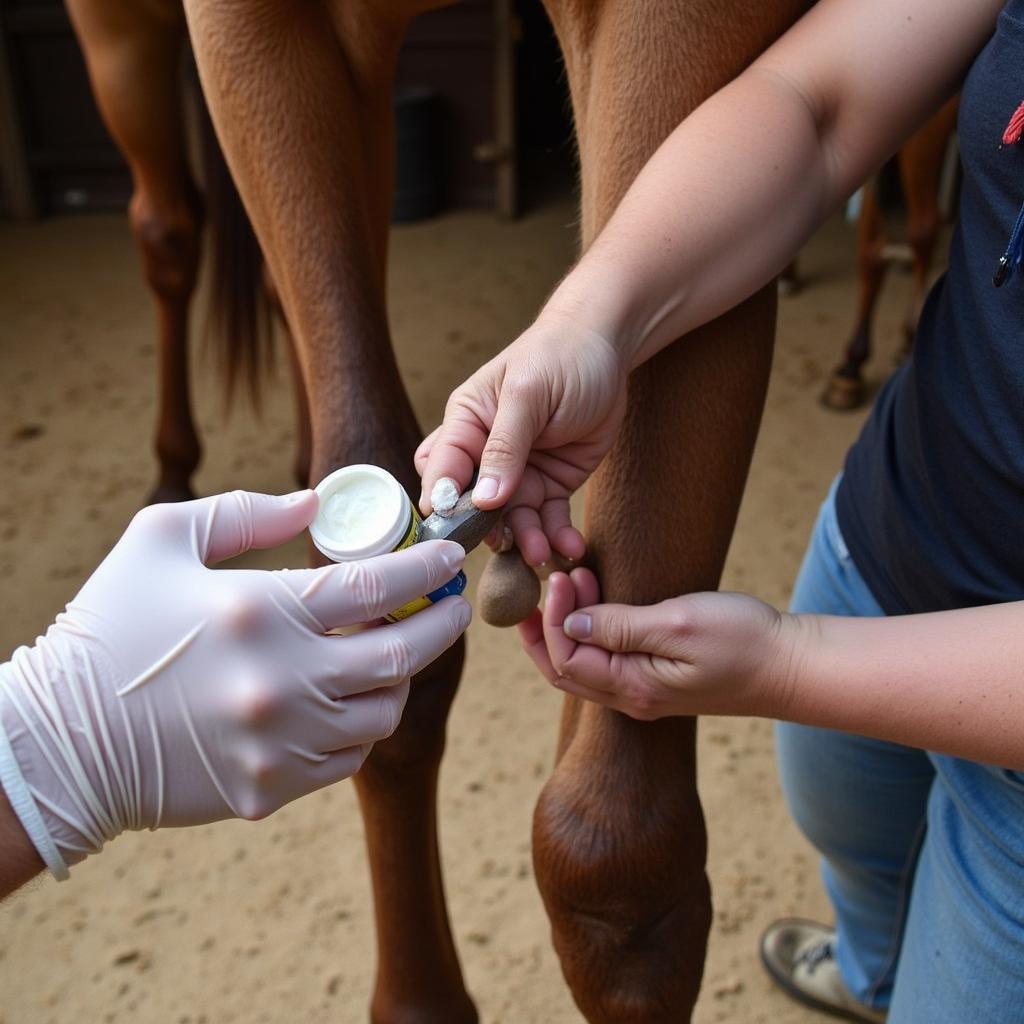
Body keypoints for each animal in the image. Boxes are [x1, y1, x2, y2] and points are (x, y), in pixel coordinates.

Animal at [70, 0, 806, 1019]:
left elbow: (620, 857)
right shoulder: (258, 31)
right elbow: (396, 699)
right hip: (119, 37)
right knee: (171, 234)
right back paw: (177, 466)